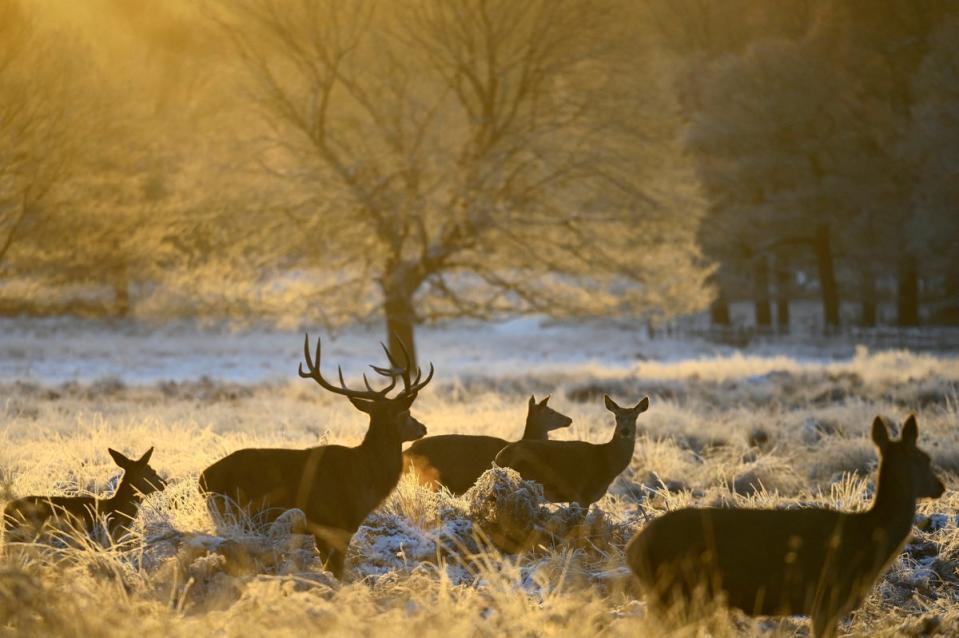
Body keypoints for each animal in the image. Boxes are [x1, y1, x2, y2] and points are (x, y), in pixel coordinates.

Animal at [201, 338, 434, 584]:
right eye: (407, 413)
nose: (422, 428)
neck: (366, 476)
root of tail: (202, 478)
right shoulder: (334, 522)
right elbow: (336, 568)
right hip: (239, 513)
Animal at [628, 416, 948, 638]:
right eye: (924, 458)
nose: (941, 486)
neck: (867, 539)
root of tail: (634, 549)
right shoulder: (826, 599)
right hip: (674, 590)